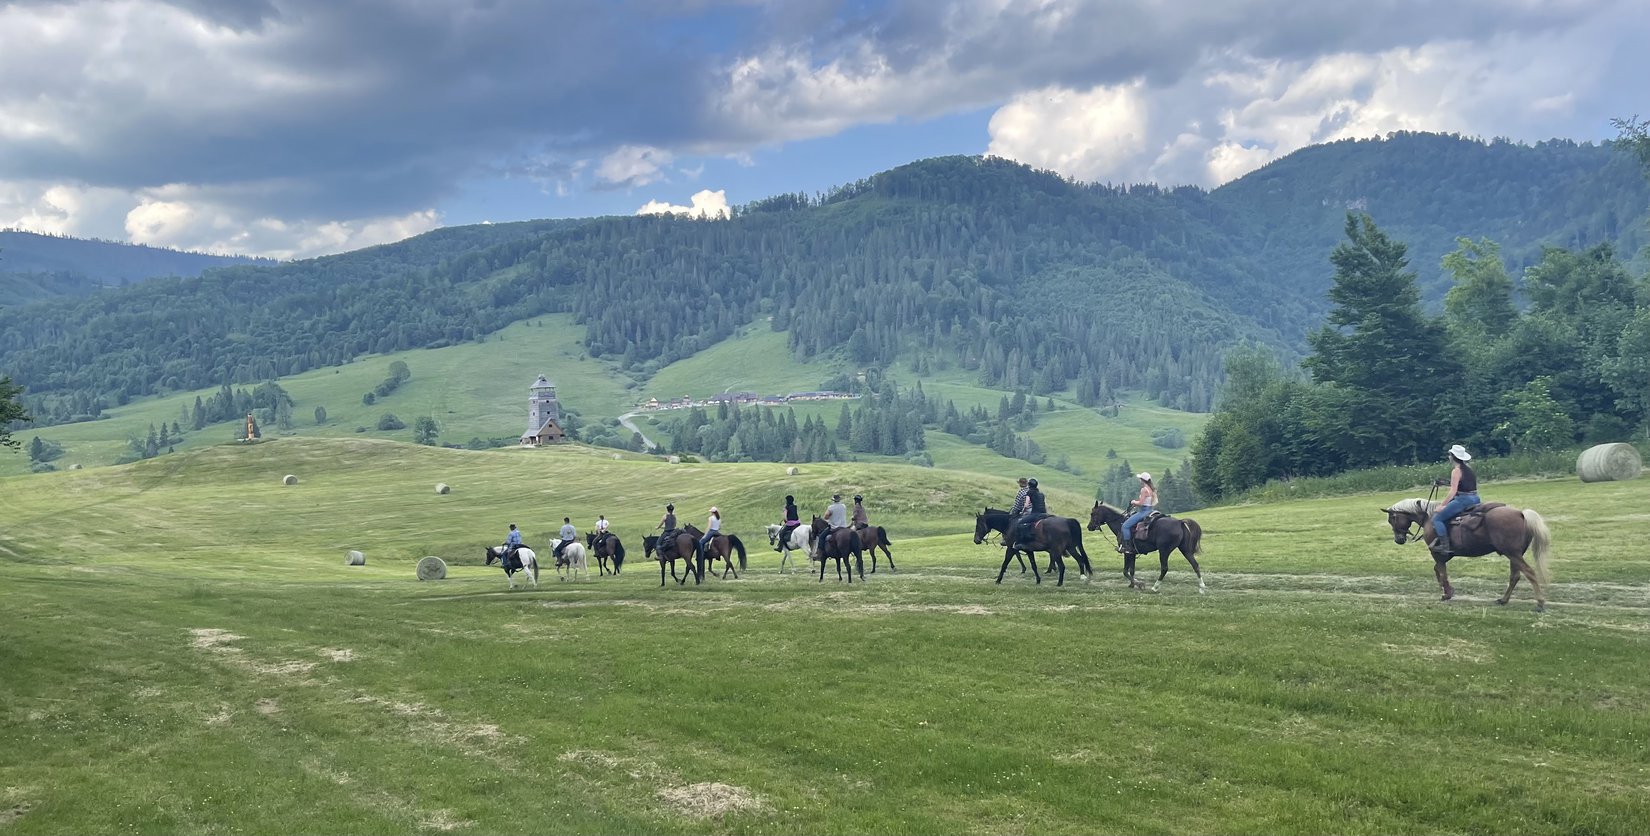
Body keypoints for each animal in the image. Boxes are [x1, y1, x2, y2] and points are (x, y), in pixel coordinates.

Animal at [963, 507, 1095, 587]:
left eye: (978, 525)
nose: (976, 540)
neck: (1009, 524)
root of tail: (1067, 521)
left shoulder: (1011, 548)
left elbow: (1005, 563)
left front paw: (998, 580)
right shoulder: (1029, 550)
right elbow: (1033, 565)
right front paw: (1038, 580)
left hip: (1056, 551)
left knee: (1062, 566)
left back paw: (1059, 583)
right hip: (1071, 548)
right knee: (1080, 560)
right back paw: (1082, 577)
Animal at [1386, 501, 1551, 613]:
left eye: (1392, 519)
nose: (1398, 540)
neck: (1429, 518)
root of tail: (1521, 514)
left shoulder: (1437, 554)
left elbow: (1442, 572)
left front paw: (1446, 594)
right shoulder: (1446, 555)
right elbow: (1438, 570)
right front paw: (1448, 590)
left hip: (1513, 554)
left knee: (1529, 573)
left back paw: (1540, 603)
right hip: (1514, 555)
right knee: (1515, 576)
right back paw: (1503, 600)